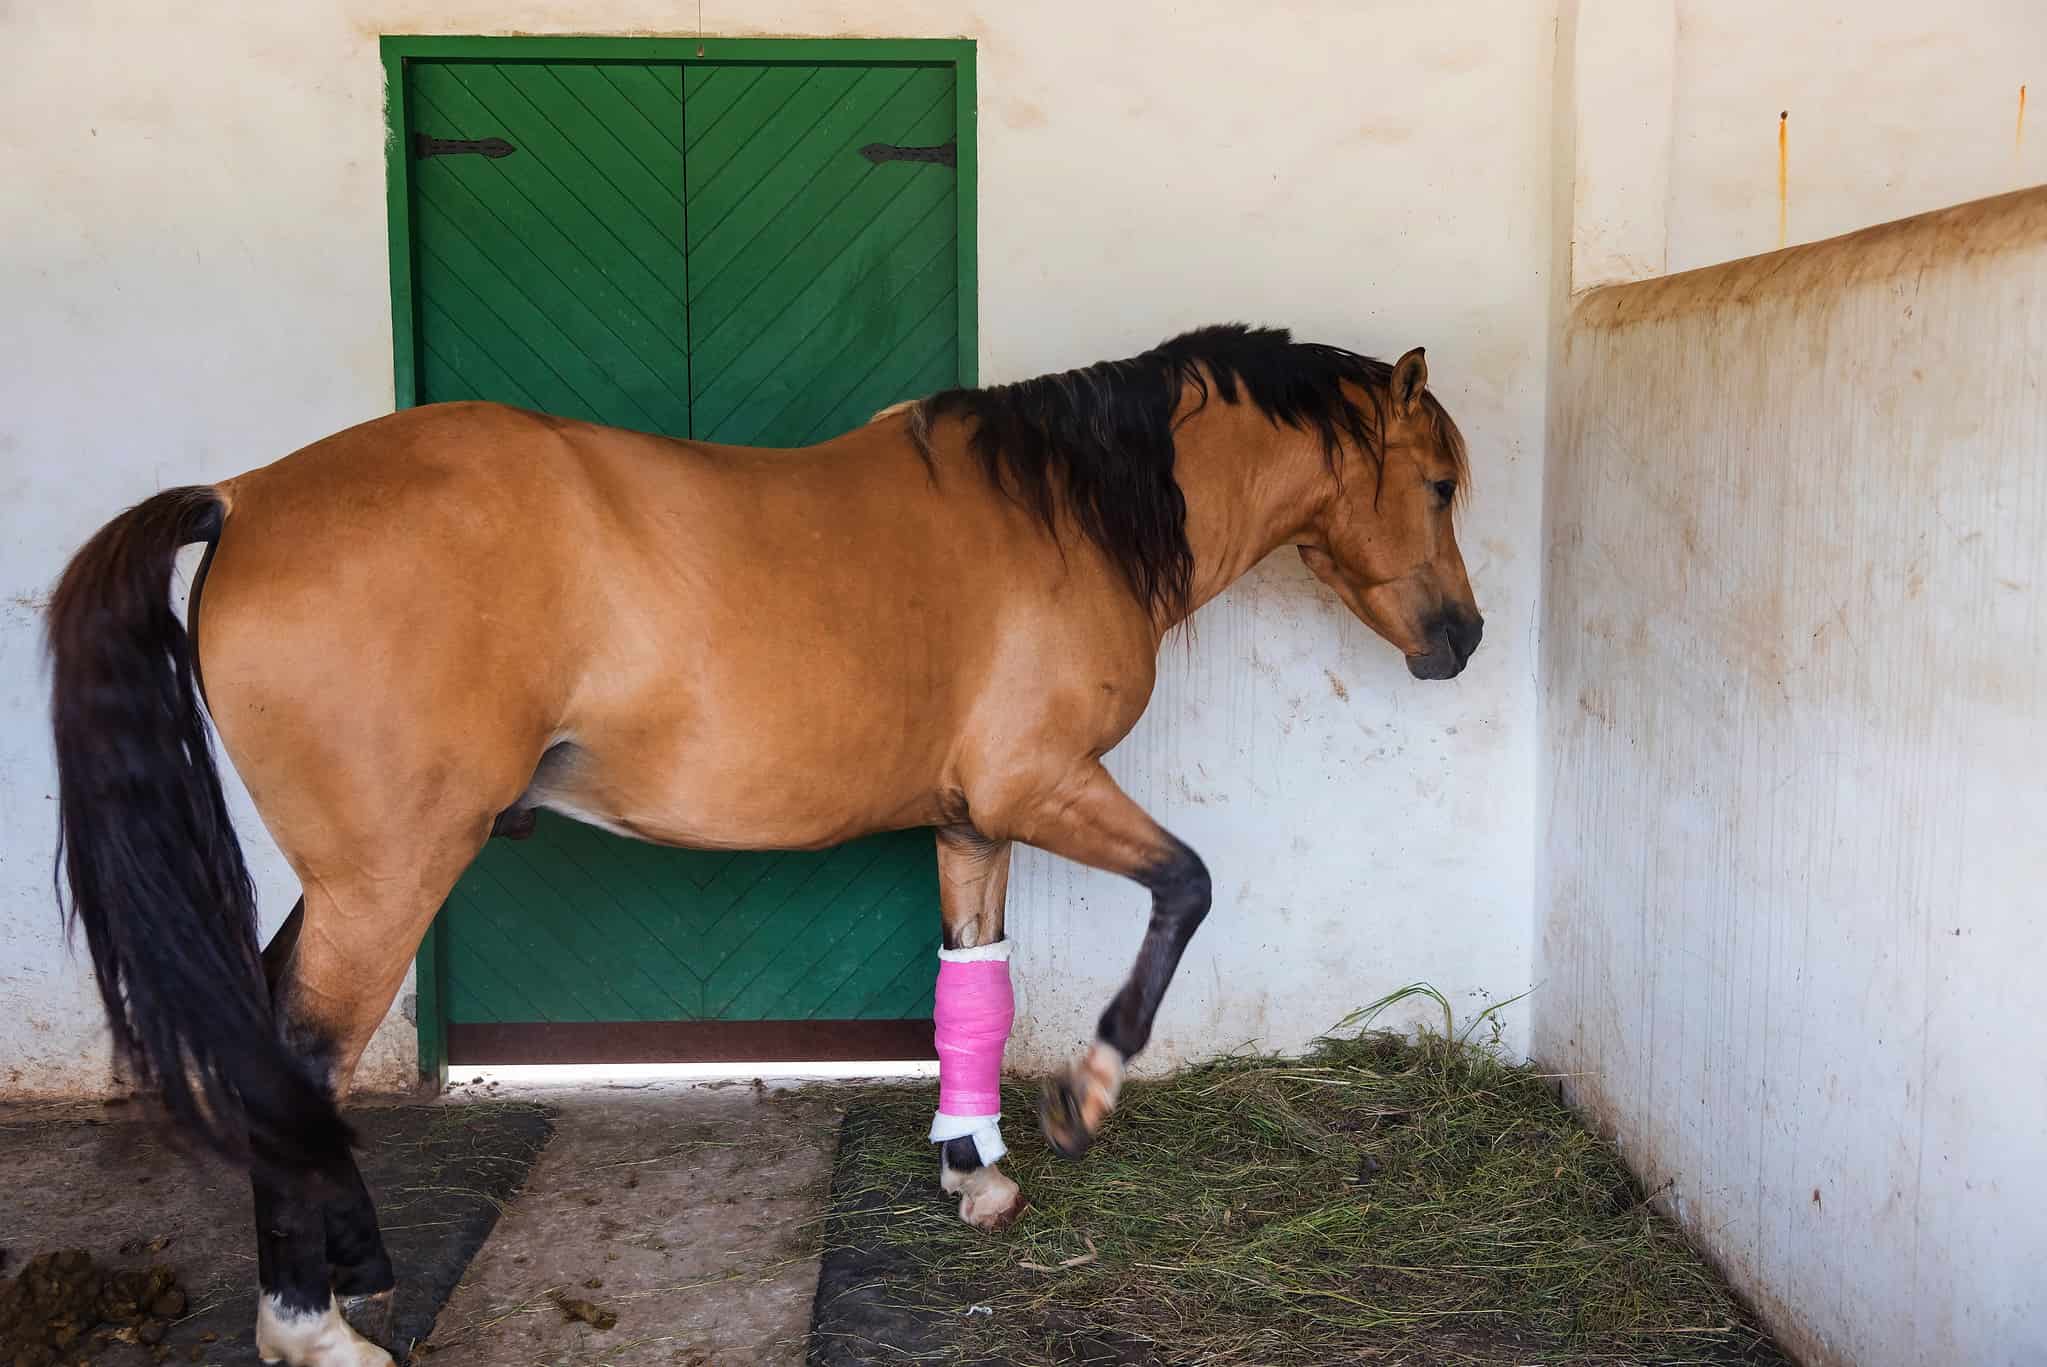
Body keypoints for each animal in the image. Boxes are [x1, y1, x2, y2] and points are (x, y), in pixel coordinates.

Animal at [46, 323, 1480, 1367]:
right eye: (1440, 482)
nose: (1458, 639)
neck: (1061, 515)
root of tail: (243, 499)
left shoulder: (973, 818)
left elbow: (974, 977)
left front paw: (973, 1170)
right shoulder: (1039, 785)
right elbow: (1185, 886)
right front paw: (1083, 1095)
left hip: (351, 873)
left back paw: (354, 1283)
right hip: (389, 872)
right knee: (295, 1053)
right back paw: (312, 1329)